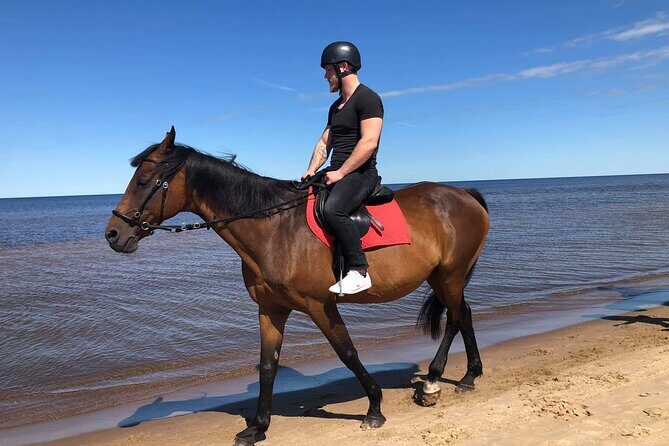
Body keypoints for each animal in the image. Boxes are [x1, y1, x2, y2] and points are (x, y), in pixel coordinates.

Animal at [105, 127, 490, 446]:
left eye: (143, 181)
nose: (113, 234)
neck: (276, 229)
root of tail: (465, 194)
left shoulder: (321, 306)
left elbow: (347, 353)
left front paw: (374, 408)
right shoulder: (271, 309)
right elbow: (267, 366)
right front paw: (257, 427)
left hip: (449, 275)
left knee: (456, 318)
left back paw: (433, 382)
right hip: (442, 276)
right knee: (466, 314)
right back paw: (470, 376)